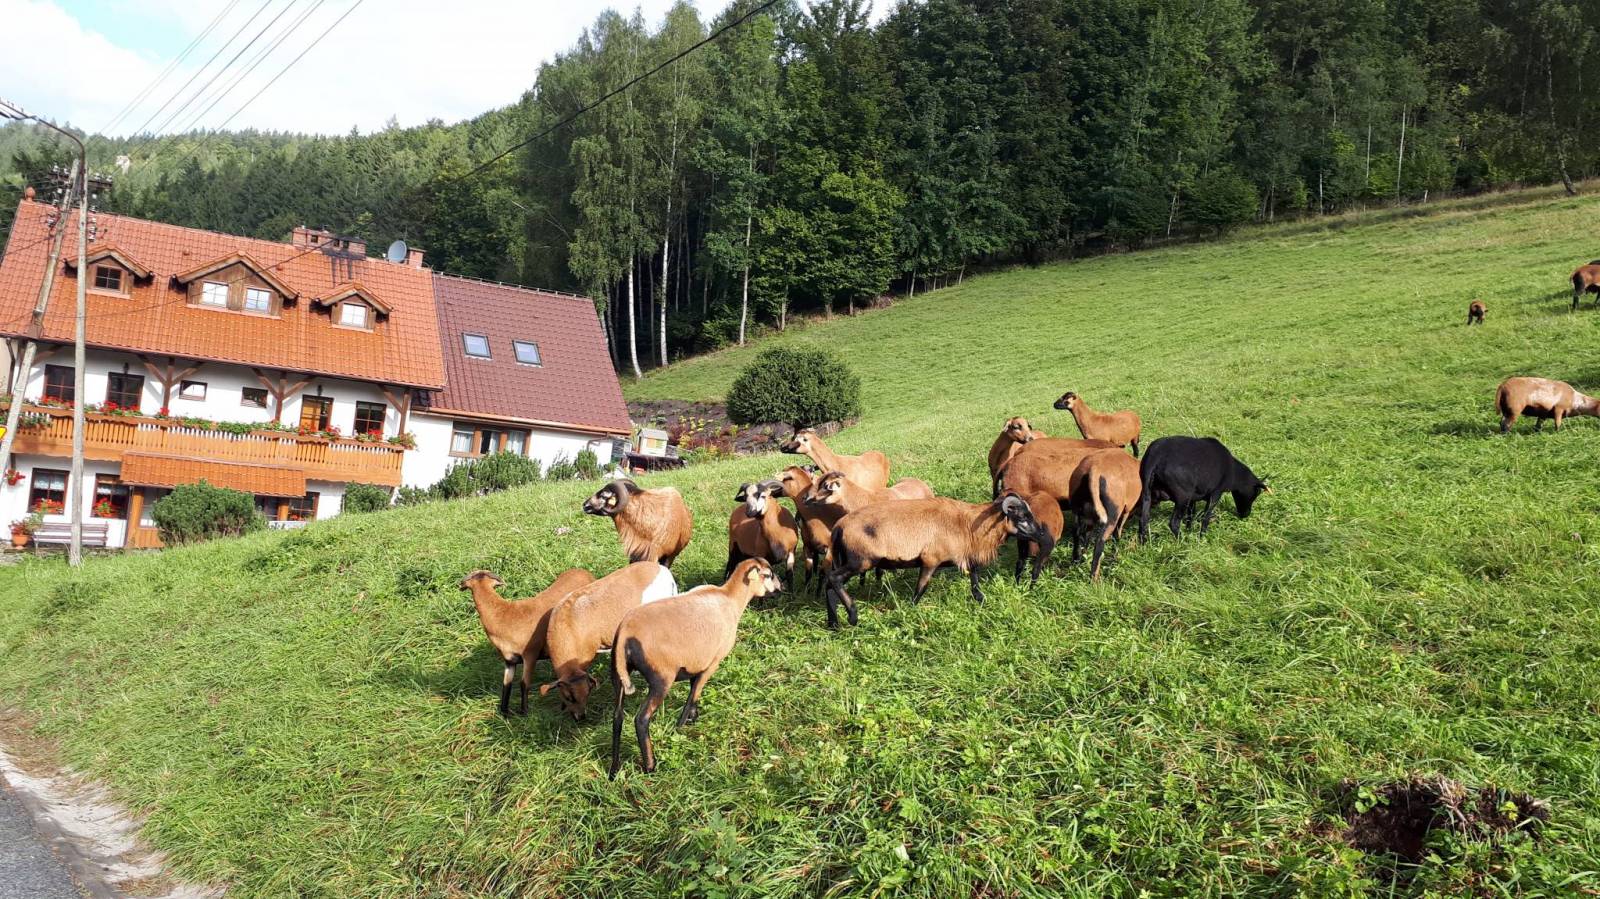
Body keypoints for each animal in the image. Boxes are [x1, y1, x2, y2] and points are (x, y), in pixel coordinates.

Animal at [460, 568, 597, 716]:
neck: (503, 616)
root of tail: (581, 570)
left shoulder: (530, 654)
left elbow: (524, 684)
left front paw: (524, 712)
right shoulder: (509, 660)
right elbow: (506, 685)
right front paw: (505, 712)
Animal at [608, 558, 783, 778]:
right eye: (768, 575)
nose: (781, 588)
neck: (730, 599)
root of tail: (625, 631)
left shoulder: (697, 663)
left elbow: (694, 692)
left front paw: (693, 718)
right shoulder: (712, 663)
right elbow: (693, 696)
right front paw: (681, 729)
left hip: (618, 675)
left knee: (617, 717)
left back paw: (614, 770)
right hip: (661, 678)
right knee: (641, 719)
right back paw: (650, 766)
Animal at [824, 493, 1048, 628]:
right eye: (1023, 517)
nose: (1042, 535)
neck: (967, 525)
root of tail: (838, 527)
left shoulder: (966, 559)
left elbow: (975, 586)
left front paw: (984, 603)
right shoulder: (930, 560)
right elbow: (920, 589)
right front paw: (910, 612)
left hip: (847, 560)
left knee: (829, 586)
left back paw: (834, 624)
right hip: (860, 561)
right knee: (833, 579)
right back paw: (853, 616)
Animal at [1067, 449, 1143, 580]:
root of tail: (1094, 468)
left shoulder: (1089, 520)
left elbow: (1086, 538)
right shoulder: (1125, 511)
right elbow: (1117, 534)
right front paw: (1114, 558)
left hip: (1079, 513)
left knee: (1076, 534)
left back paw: (1076, 562)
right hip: (1111, 517)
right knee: (1099, 542)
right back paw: (1094, 578)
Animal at [1137, 436, 1268, 542]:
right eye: (1256, 493)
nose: (1246, 515)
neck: (1234, 471)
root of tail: (1155, 457)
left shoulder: (1192, 499)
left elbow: (1190, 516)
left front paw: (1189, 531)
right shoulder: (1215, 494)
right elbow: (1206, 518)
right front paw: (1202, 538)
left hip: (1147, 494)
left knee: (1143, 520)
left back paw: (1144, 544)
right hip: (1182, 497)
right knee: (1174, 523)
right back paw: (1183, 542)